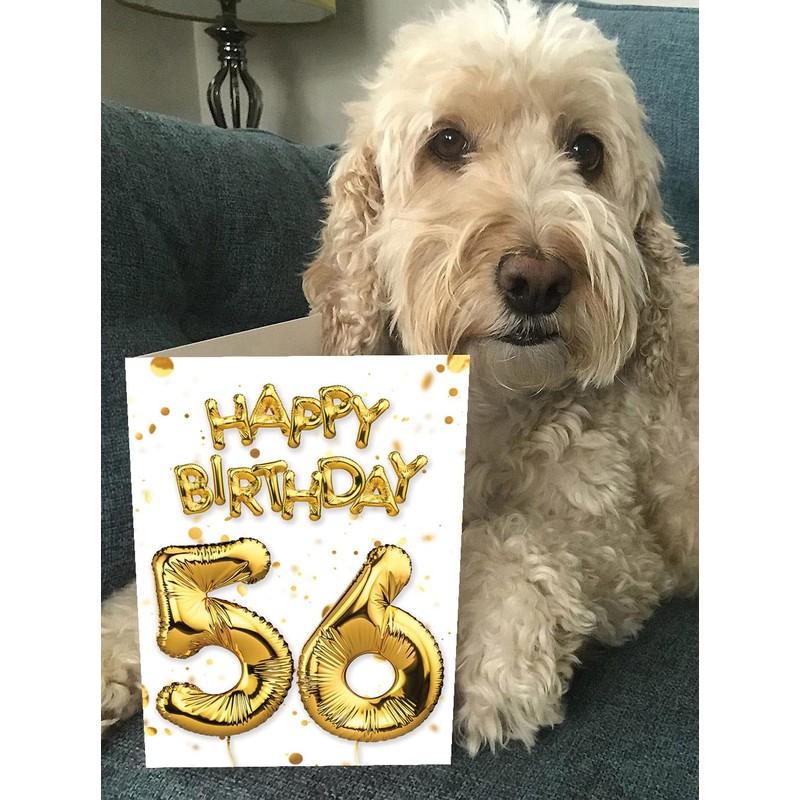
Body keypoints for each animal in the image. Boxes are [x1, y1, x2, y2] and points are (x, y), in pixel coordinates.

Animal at [101, 0, 698, 755]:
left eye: (586, 151)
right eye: (446, 142)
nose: (537, 278)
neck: (491, 399)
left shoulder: (625, 549)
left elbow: (516, 536)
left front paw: (498, 661)